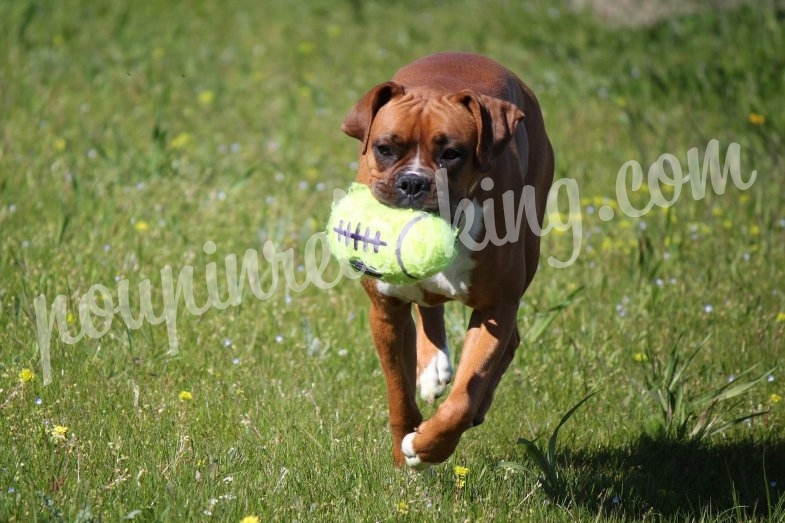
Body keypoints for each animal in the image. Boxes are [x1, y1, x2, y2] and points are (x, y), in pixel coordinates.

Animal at [340, 54, 556, 470]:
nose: (413, 182)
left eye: (451, 153)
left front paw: (427, 448)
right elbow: (398, 391)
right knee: (429, 306)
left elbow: (464, 397)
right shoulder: (386, 312)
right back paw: (432, 367)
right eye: (384, 148)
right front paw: (402, 448)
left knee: (506, 345)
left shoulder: (495, 310)